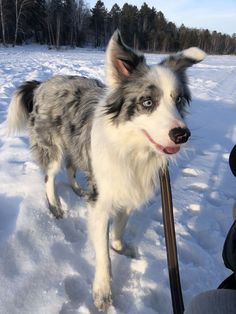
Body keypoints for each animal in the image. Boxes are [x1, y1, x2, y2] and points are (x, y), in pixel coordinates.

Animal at [7, 30, 206, 310]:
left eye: (178, 101)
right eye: (147, 102)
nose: (182, 135)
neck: (132, 149)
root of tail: (42, 84)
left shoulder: (129, 189)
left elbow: (120, 227)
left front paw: (120, 247)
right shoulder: (101, 203)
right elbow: (103, 254)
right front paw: (102, 292)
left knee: (71, 166)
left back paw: (77, 190)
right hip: (52, 146)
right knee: (49, 176)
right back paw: (56, 206)